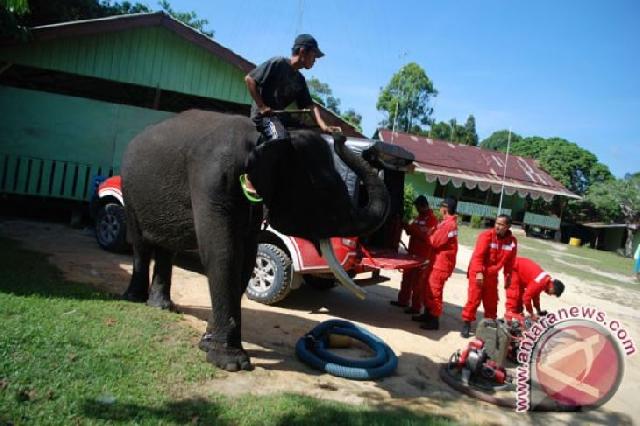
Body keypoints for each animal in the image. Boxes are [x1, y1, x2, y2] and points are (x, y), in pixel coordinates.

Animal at [120, 109, 390, 370]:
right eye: (324, 190)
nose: (338, 134)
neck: (264, 136)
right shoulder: (213, 179)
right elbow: (224, 253)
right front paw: (231, 363)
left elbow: (247, 258)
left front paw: (208, 343)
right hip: (128, 189)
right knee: (140, 243)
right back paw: (134, 298)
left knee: (167, 248)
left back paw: (161, 306)